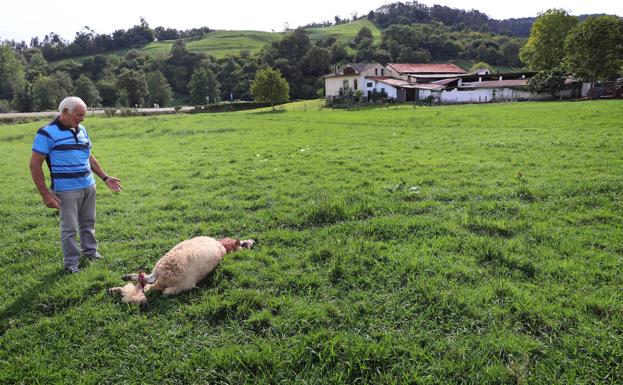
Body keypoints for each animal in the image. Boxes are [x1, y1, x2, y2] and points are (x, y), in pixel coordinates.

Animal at [108, 236, 255, 304]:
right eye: (244, 244)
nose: (254, 241)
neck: (223, 245)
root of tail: (166, 278)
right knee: (146, 281)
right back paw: (121, 283)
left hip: (164, 270)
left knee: (146, 282)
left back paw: (121, 283)